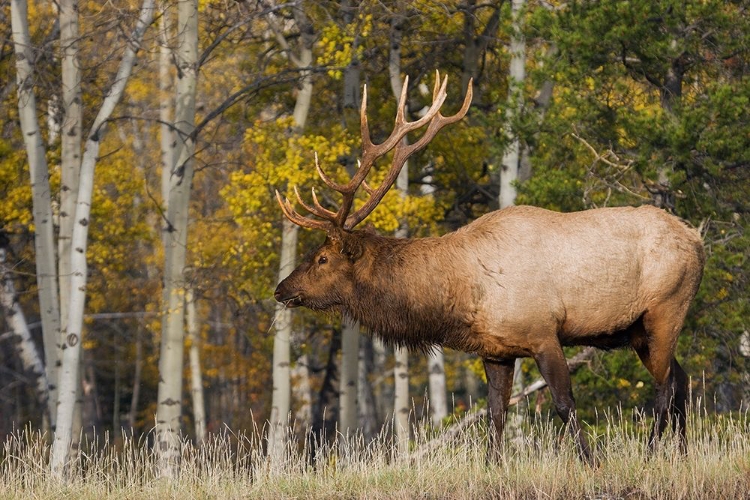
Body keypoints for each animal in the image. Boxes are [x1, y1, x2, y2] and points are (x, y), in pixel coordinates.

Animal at [274, 70, 708, 460]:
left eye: (321, 258)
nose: (281, 289)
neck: (463, 294)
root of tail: (697, 240)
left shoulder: (543, 332)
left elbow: (564, 403)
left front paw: (592, 462)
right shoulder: (496, 349)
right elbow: (495, 413)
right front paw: (494, 464)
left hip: (665, 308)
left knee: (665, 386)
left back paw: (651, 454)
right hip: (638, 330)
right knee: (682, 380)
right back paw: (684, 454)